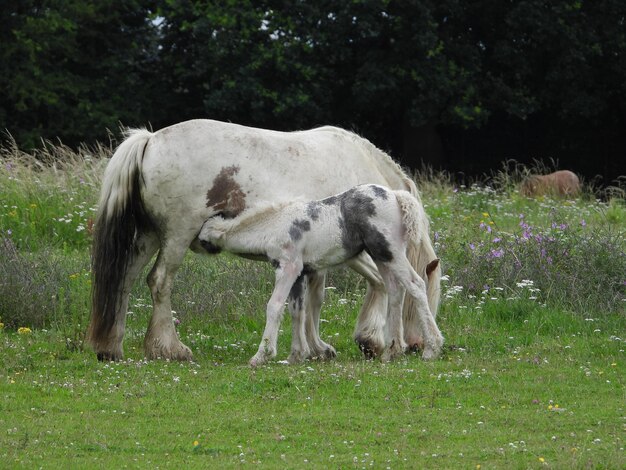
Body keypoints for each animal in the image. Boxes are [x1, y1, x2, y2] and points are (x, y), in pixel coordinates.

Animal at [197, 184, 442, 368]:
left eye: (202, 235)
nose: (195, 245)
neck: (274, 226)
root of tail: (396, 196)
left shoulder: (288, 268)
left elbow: (274, 306)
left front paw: (262, 355)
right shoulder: (300, 274)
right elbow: (296, 310)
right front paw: (296, 355)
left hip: (390, 253)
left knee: (416, 285)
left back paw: (431, 348)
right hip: (382, 257)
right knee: (395, 290)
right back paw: (392, 351)